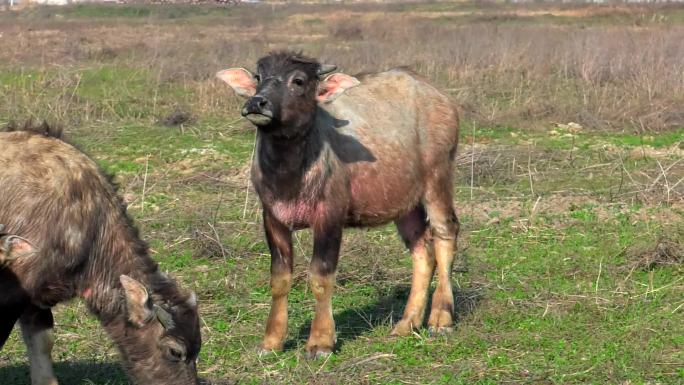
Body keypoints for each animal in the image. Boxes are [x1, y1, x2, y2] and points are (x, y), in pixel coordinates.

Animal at [219, 51, 462, 356]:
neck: (290, 173)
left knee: (446, 233)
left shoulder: (330, 216)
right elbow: (279, 278)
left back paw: (441, 318)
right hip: (406, 204)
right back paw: (407, 323)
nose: (256, 103)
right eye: (258, 76)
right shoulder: (273, 217)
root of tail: (441, 98)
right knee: (422, 250)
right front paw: (271, 341)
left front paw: (321, 341)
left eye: (298, 80)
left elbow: (321, 276)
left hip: (438, 180)